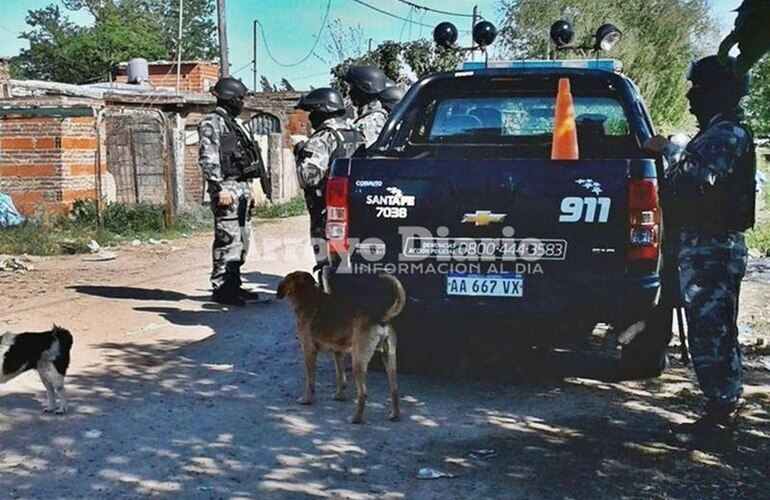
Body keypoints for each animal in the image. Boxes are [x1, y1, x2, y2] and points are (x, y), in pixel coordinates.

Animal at [278, 272, 408, 424]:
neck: (308, 295)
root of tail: (381, 317)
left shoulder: (308, 352)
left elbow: (310, 381)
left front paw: (307, 399)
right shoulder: (338, 352)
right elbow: (341, 377)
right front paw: (339, 395)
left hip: (358, 362)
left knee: (363, 393)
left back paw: (356, 418)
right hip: (389, 358)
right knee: (394, 390)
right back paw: (394, 415)